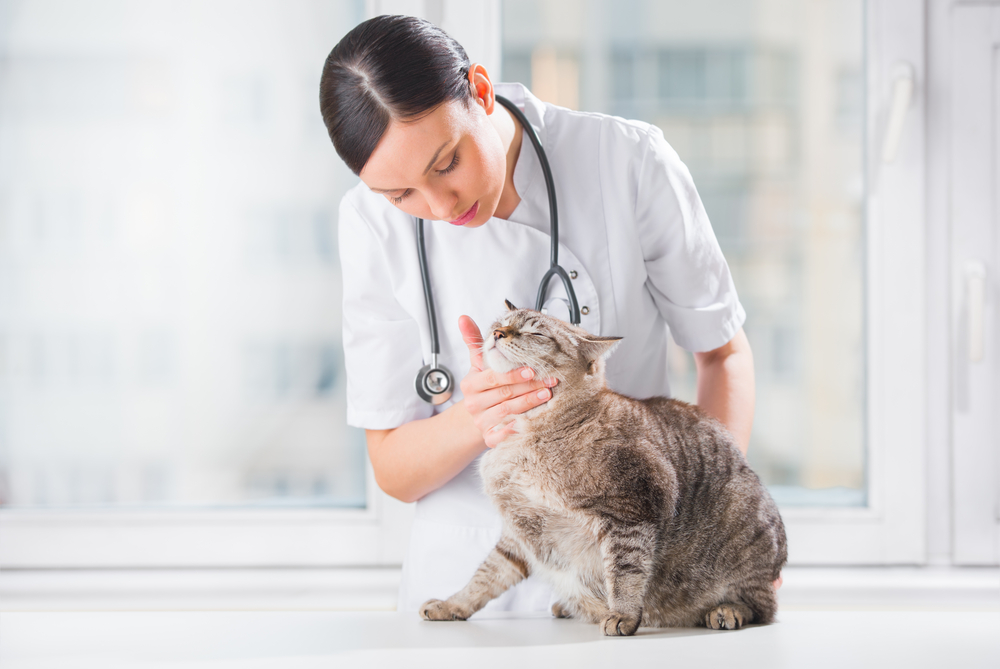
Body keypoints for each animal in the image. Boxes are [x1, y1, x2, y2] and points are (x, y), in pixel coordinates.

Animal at [418, 300, 784, 636]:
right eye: (500, 323)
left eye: (536, 333)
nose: (497, 334)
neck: (522, 436)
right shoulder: (518, 533)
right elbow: (484, 578)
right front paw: (450, 605)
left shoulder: (631, 510)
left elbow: (625, 574)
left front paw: (622, 615)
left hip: (745, 537)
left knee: (762, 607)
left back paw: (726, 611)